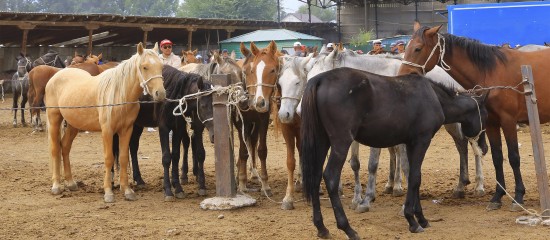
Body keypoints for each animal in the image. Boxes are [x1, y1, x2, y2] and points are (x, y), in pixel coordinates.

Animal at [44, 42, 166, 202]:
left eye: (161, 66)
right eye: (145, 67)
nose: (161, 94)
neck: (119, 95)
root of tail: (56, 76)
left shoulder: (126, 130)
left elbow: (123, 158)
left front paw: (127, 191)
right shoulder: (107, 131)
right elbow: (109, 159)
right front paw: (108, 192)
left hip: (73, 125)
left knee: (64, 147)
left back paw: (71, 183)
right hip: (54, 119)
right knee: (55, 149)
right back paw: (57, 186)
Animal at [300, 67, 490, 238]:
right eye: (486, 116)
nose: (484, 148)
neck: (433, 97)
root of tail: (320, 79)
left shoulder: (410, 143)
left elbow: (413, 176)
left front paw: (420, 218)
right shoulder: (422, 141)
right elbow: (415, 177)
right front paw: (412, 221)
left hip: (321, 141)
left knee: (315, 177)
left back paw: (322, 228)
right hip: (341, 142)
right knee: (331, 177)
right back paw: (347, 228)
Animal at [398, 22, 550, 210]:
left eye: (418, 48)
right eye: (406, 47)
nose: (402, 76)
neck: (492, 72)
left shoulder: (508, 121)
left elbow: (514, 157)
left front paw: (518, 197)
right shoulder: (491, 123)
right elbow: (497, 157)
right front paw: (497, 197)